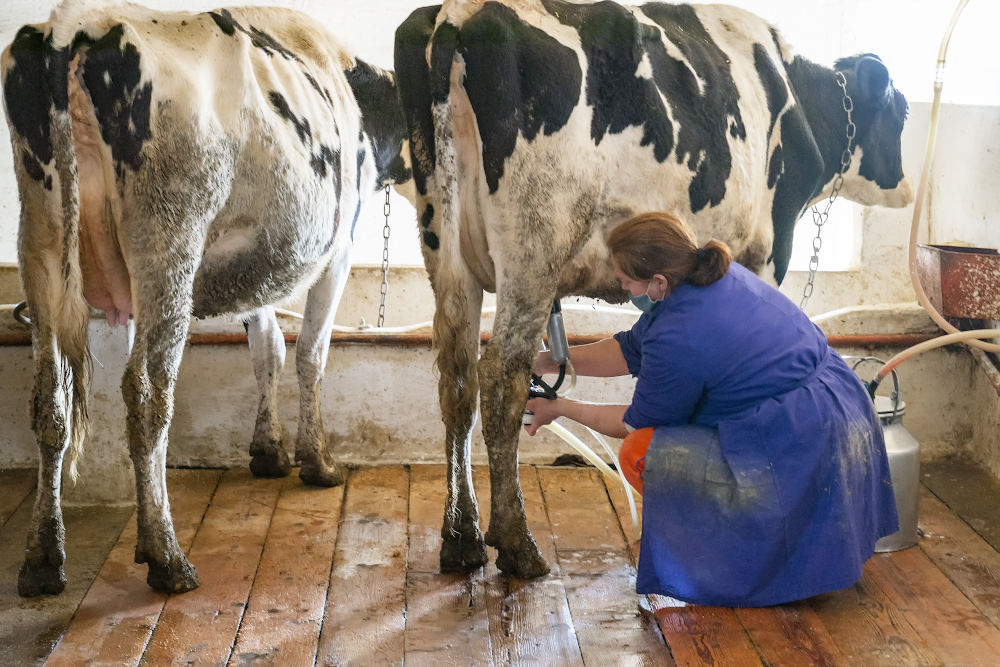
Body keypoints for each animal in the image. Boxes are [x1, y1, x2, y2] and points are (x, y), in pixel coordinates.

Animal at [3, 0, 410, 596]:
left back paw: (41, 560)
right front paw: (318, 462)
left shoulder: (259, 257)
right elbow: (311, 354)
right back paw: (166, 556)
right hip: (169, 240)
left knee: (50, 398)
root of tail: (75, 24)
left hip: (41, 241)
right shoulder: (337, 247)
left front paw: (269, 451)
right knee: (147, 393)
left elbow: (267, 349)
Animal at [396, 0, 916, 580]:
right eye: (902, 113)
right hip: (536, 241)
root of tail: (456, 16)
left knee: (457, 381)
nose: (907, 185)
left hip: (444, 245)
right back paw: (516, 544)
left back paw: (460, 538)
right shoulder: (768, 249)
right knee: (501, 377)